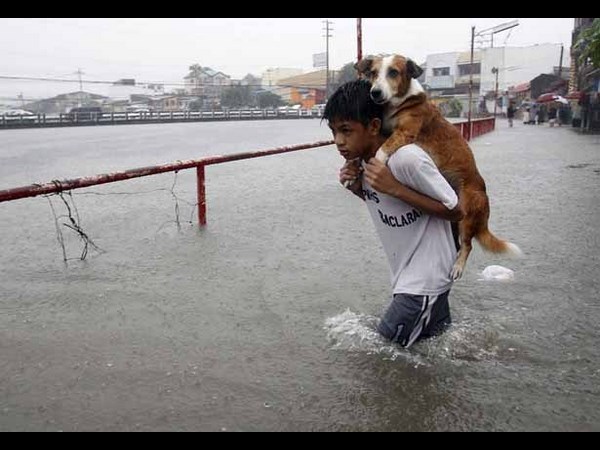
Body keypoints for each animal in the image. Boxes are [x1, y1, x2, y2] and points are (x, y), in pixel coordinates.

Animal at [356, 54, 520, 280]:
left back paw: (458, 266)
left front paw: (376, 164)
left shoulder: (405, 133)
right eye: (373, 73)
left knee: (468, 245)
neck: (401, 102)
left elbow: (382, 149)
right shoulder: (386, 129)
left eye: (393, 72)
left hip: (466, 215)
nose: (375, 93)